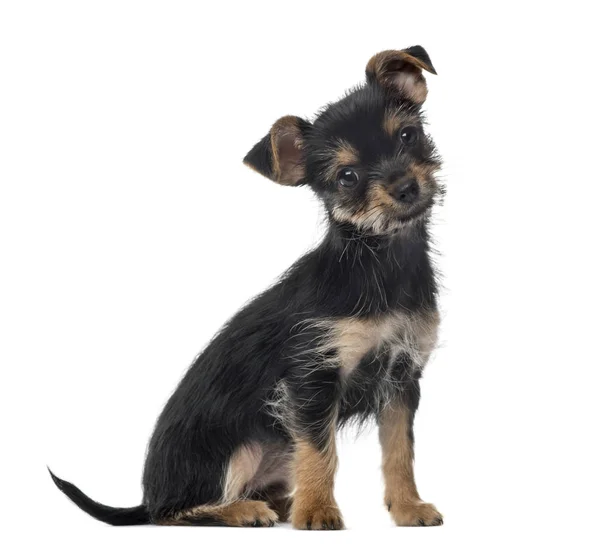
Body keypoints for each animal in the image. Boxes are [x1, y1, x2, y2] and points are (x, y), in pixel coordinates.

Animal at [49, 46, 446, 532]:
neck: (381, 262)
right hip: (235, 451)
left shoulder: (401, 380)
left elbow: (399, 451)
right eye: (347, 177)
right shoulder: (311, 380)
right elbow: (320, 452)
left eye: (408, 135)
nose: (406, 187)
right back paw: (245, 510)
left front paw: (408, 507)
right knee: (175, 512)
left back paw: (278, 503)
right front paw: (318, 511)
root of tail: (147, 495)